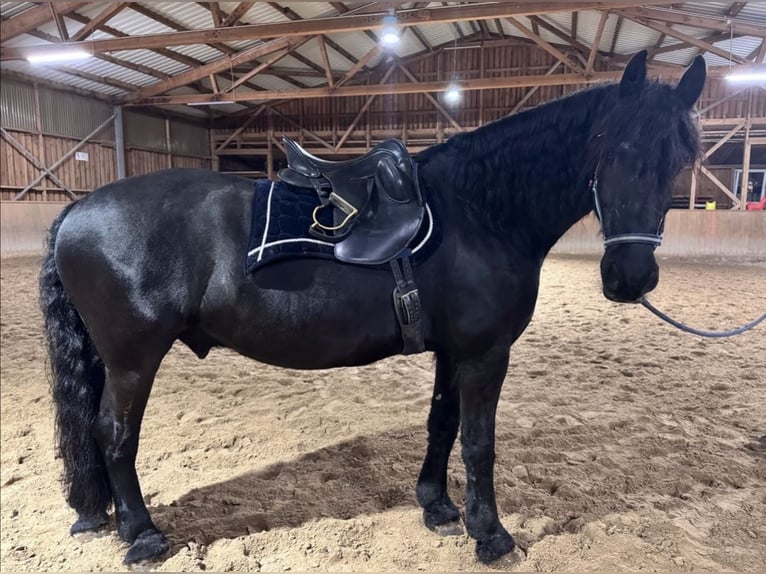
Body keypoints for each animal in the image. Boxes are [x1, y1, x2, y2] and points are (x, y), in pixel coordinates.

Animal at [39, 50, 706, 565]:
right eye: (614, 148)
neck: (480, 211)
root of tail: (77, 208)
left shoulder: (453, 352)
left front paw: (437, 506)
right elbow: (480, 441)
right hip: (133, 359)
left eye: (681, 159)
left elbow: (444, 424)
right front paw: (490, 536)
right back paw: (143, 536)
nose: (630, 278)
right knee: (114, 433)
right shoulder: (486, 353)